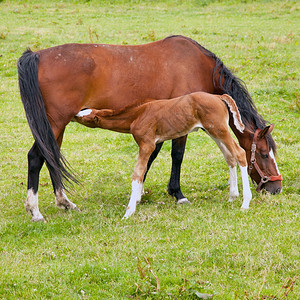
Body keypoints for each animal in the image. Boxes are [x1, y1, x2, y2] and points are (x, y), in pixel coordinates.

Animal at [74, 91, 251, 218]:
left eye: (85, 117)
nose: (74, 114)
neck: (137, 114)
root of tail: (218, 96)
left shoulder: (147, 144)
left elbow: (138, 172)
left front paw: (129, 211)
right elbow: (144, 169)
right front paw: (137, 199)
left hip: (218, 128)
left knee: (240, 153)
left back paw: (245, 203)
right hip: (213, 130)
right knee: (229, 157)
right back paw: (233, 196)